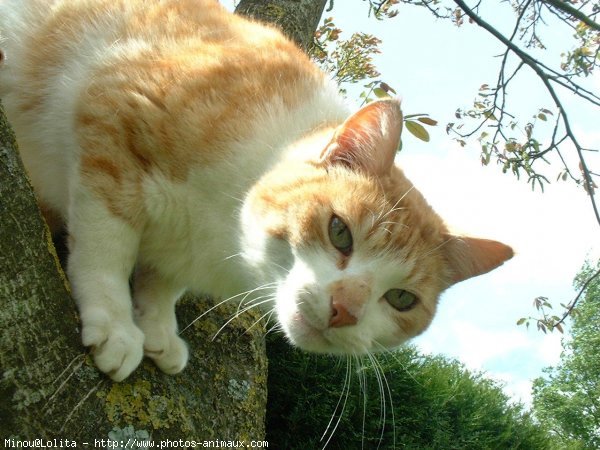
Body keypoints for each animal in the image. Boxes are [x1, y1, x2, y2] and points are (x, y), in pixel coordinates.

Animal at [2, 0, 512, 382]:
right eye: (340, 232)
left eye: (402, 299)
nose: (345, 310)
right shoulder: (113, 116)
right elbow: (108, 243)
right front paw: (115, 322)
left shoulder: (183, 253)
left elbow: (163, 279)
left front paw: (158, 328)